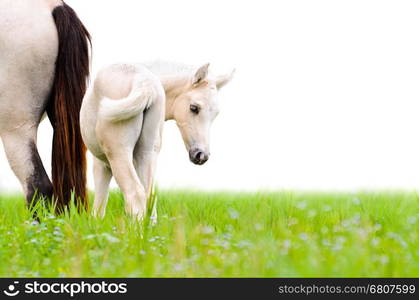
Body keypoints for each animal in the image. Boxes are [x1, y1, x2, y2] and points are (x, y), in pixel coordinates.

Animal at [80, 61, 235, 220]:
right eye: (194, 108)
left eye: (215, 114)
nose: (201, 155)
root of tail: (145, 82)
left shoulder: (102, 164)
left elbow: (99, 205)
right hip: (147, 153)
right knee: (149, 196)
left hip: (118, 153)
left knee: (135, 194)